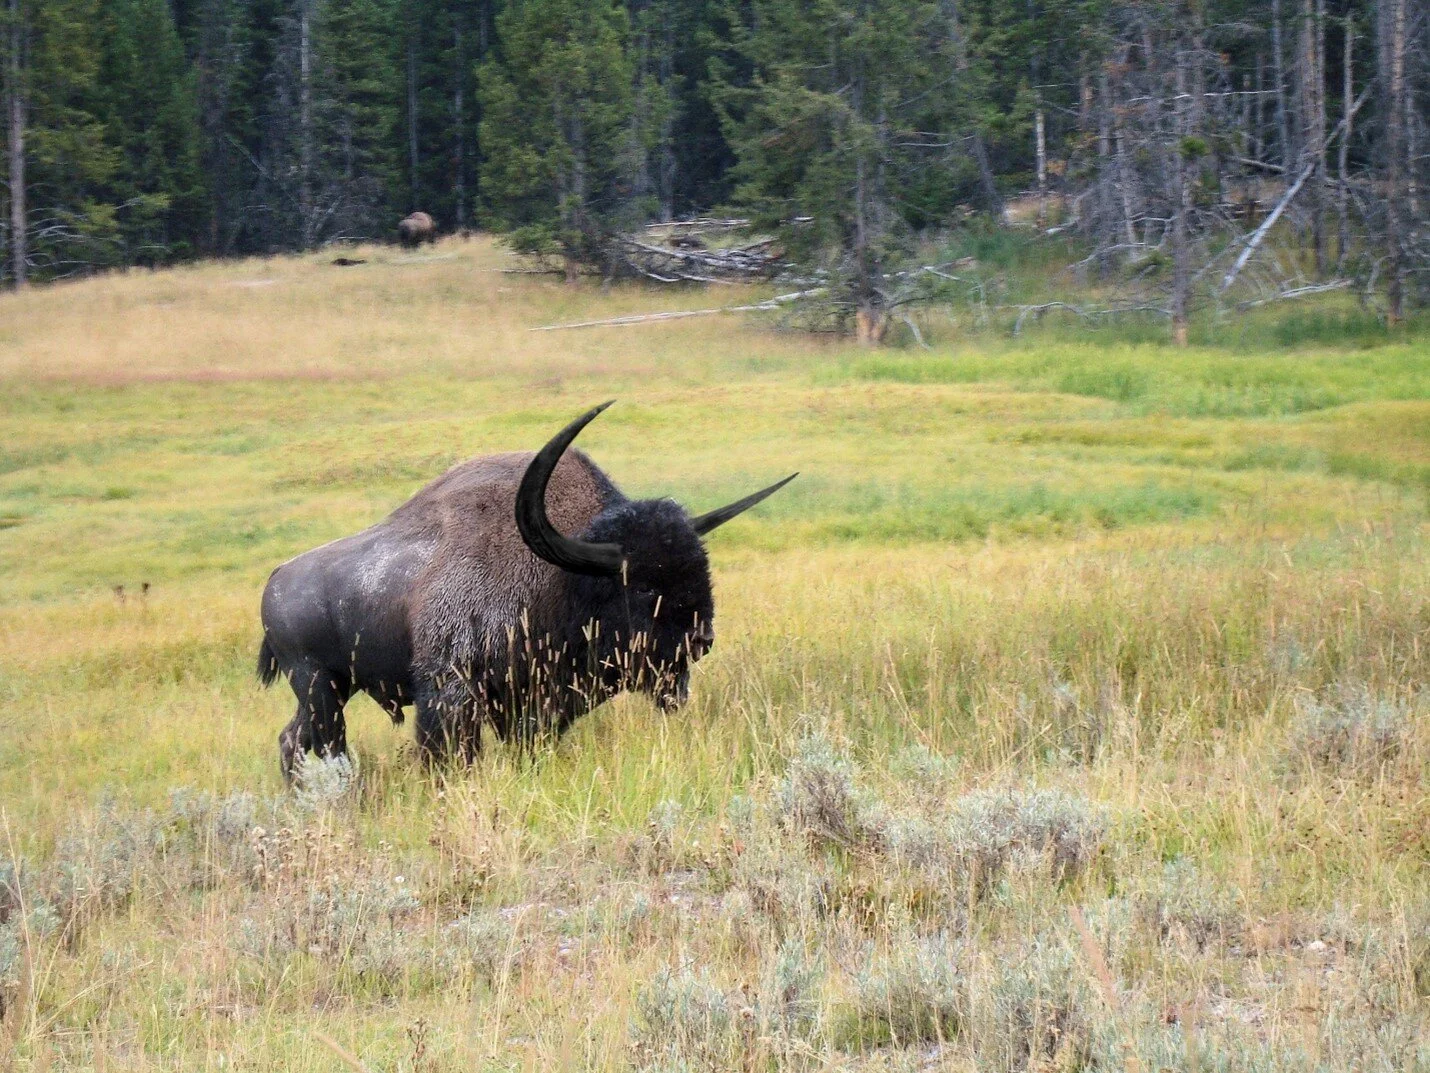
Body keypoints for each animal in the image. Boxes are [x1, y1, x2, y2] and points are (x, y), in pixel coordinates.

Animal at [257, 402, 795, 779]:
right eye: (641, 585)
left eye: (701, 571)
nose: (700, 639)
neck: (564, 576)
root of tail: (276, 578)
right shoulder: (451, 694)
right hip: (318, 686)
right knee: (325, 744)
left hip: (329, 689)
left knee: (291, 739)